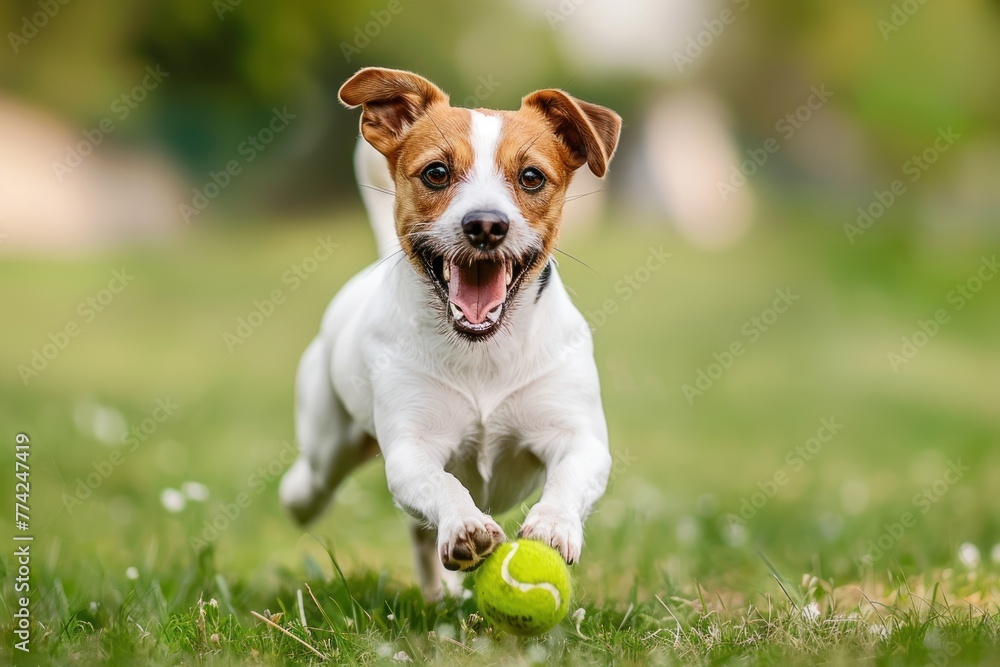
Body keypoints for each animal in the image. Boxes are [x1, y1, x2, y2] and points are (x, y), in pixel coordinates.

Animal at [282, 68, 620, 600]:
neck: (482, 350)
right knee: (312, 486)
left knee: (418, 533)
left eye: (531, 177)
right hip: (328, 443)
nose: (485, 224)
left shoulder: (578, 436)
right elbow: (444, 485)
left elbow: (570, 475)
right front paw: (465, 523)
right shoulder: (411, 449)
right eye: (436, 173)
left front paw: (552, 525)